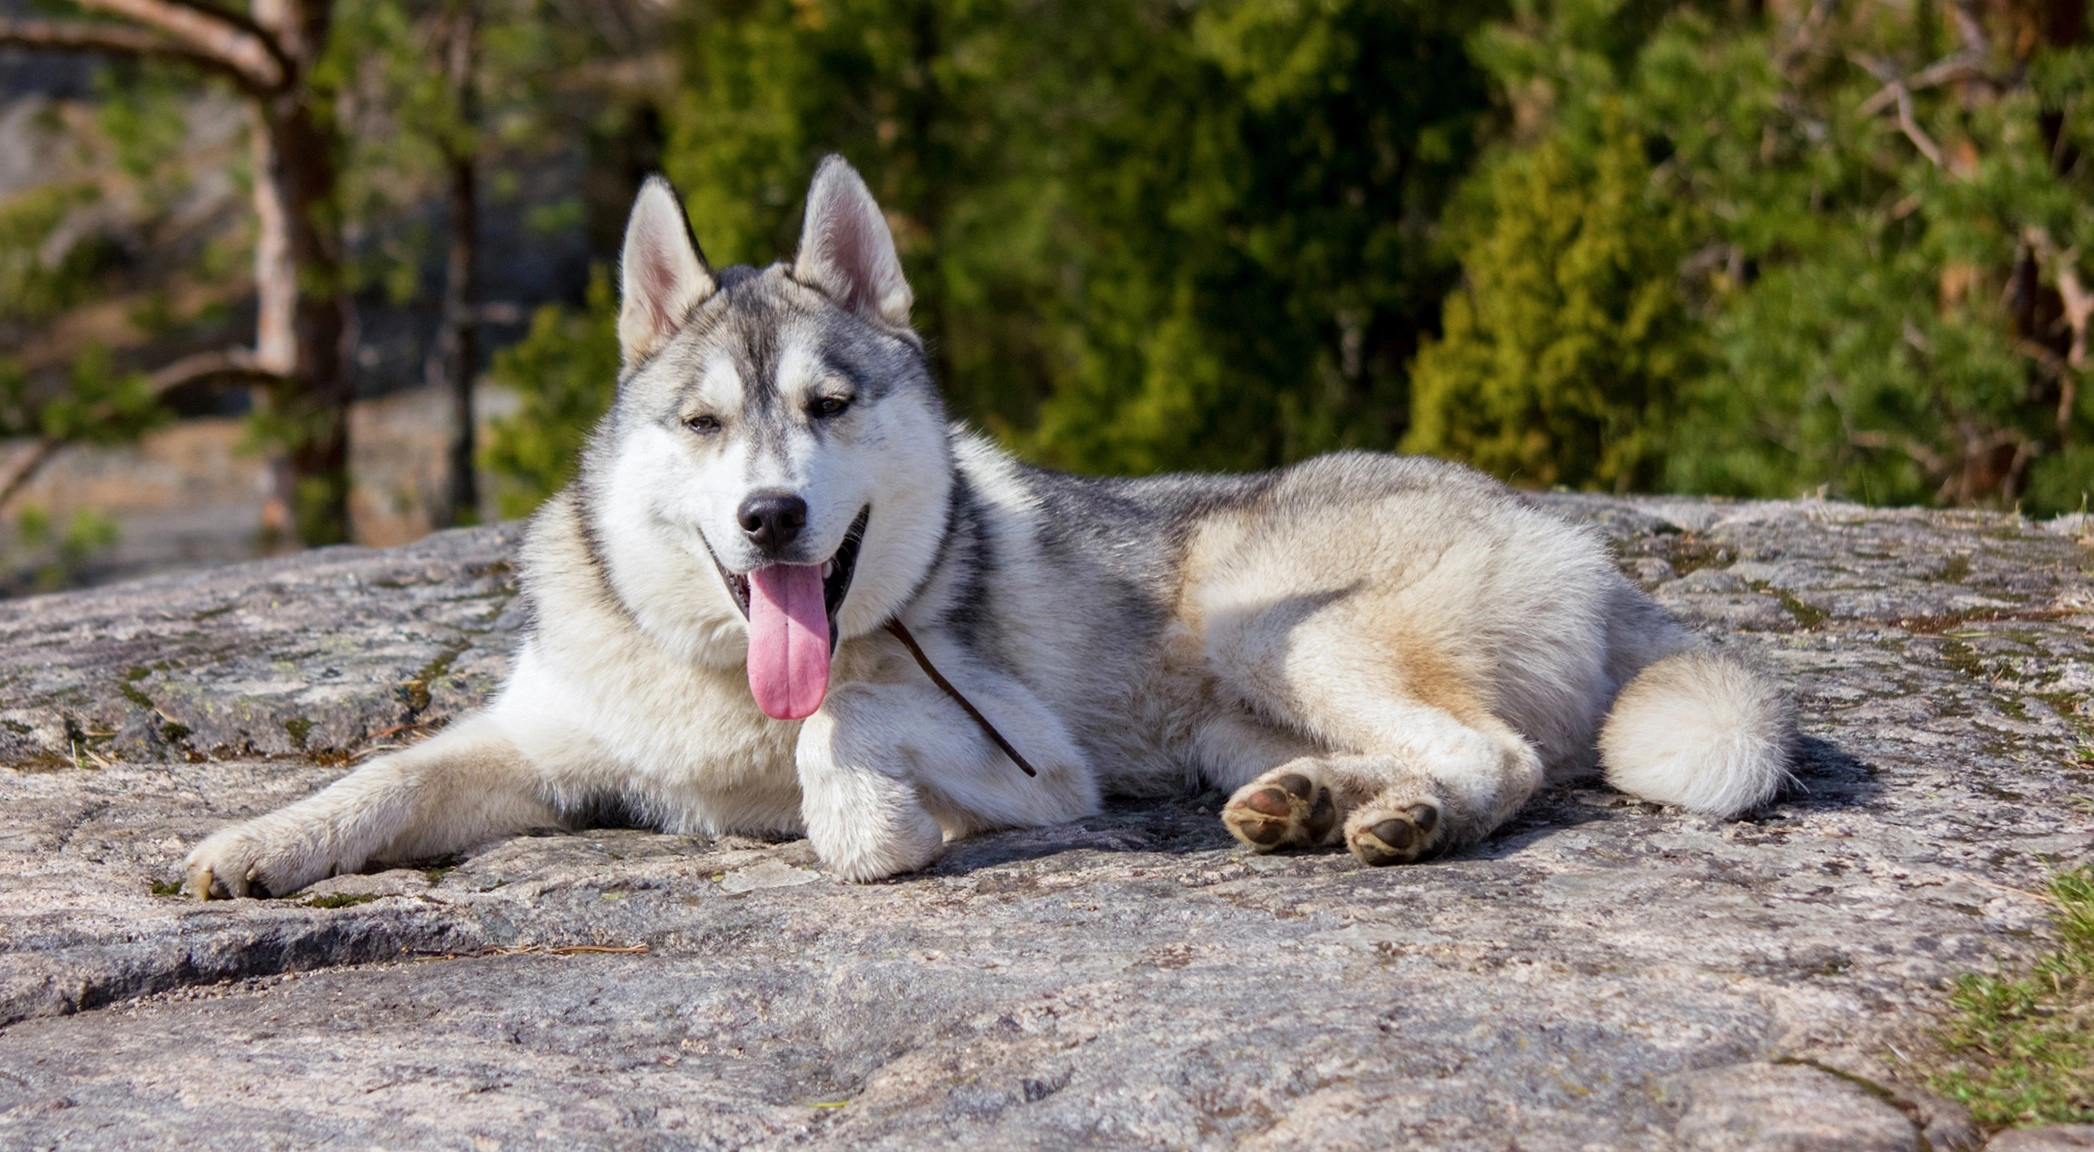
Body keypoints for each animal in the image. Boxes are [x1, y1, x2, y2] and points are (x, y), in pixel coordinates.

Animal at [180, 156, 1792, 904]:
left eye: (829, 404)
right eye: (702, 424)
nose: (770, 515)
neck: (725, 685)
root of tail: (1572, 537)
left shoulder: (1038, 763)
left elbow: (847, 745)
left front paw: (872, 823)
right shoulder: (531, 747)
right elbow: (385, 781)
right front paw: (251, 846)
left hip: (1284, 632)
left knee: (1501, 759)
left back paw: (1402, 819)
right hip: (1237, 723)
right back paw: (1319, 801)